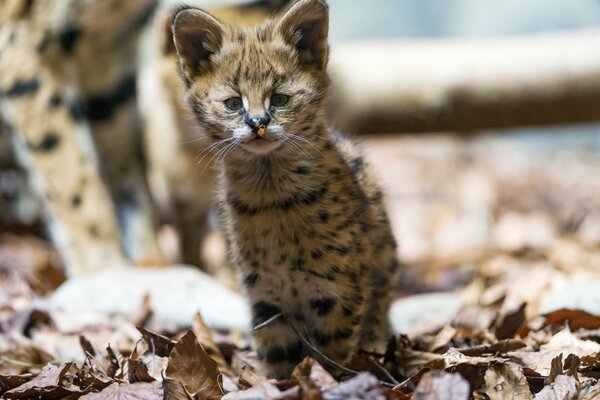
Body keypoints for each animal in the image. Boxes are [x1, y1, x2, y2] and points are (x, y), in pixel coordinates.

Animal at [173, 0, 398, 376]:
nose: (258, 123)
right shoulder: (264, 294)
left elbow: (332, 351)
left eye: (279, 99)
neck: (271, 197)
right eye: (233, 103)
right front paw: (276, 382)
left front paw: (330, 380)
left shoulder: (339, 289)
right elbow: (275, 354)